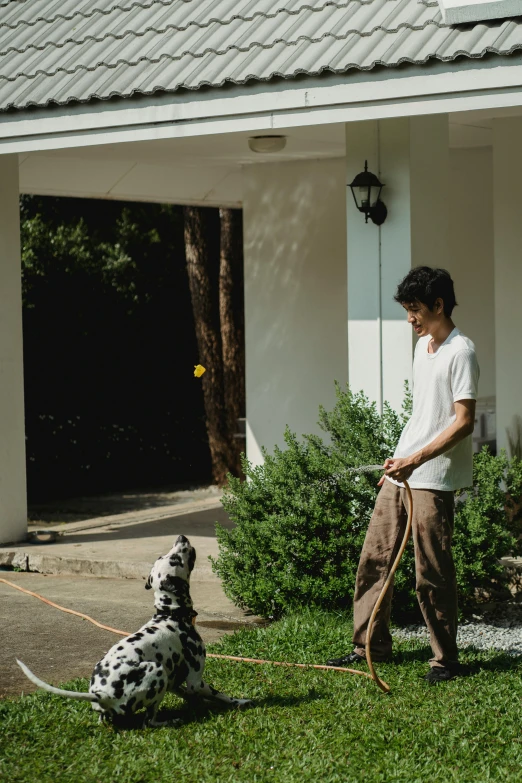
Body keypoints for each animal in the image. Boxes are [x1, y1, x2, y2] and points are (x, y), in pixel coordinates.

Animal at [15, 532, 250, 728]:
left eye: (165, 556)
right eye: (174, 559)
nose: (181, 537)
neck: (170, 615)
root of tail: (101, 694)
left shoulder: (175, 683)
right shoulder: (195, 681)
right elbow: (220, 695)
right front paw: (240, 701)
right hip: (156, 671)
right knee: (149, 722)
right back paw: (170, 721)